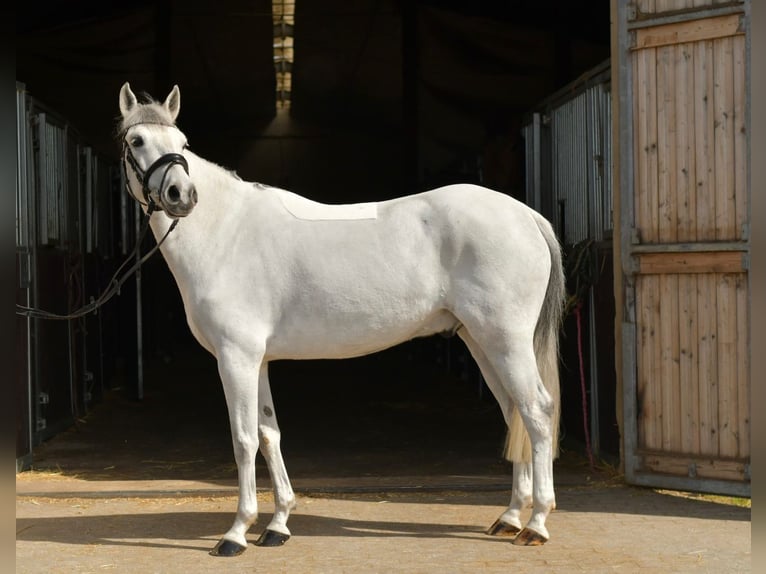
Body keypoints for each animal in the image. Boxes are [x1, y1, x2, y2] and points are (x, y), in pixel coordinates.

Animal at [117, 82, 565, 556]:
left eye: (183, 143)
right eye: (136, 141)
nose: (181, 196)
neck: (225, 231)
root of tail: (526, 215)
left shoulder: (236, 358)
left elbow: (244, 439)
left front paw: (237, 531)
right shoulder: (257, 360)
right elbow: (269, 434)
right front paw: (278, 524)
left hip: (506, 341)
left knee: (537, 411)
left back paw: (536, 523)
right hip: (481, 342)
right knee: (513, 413)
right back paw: (510, 517)